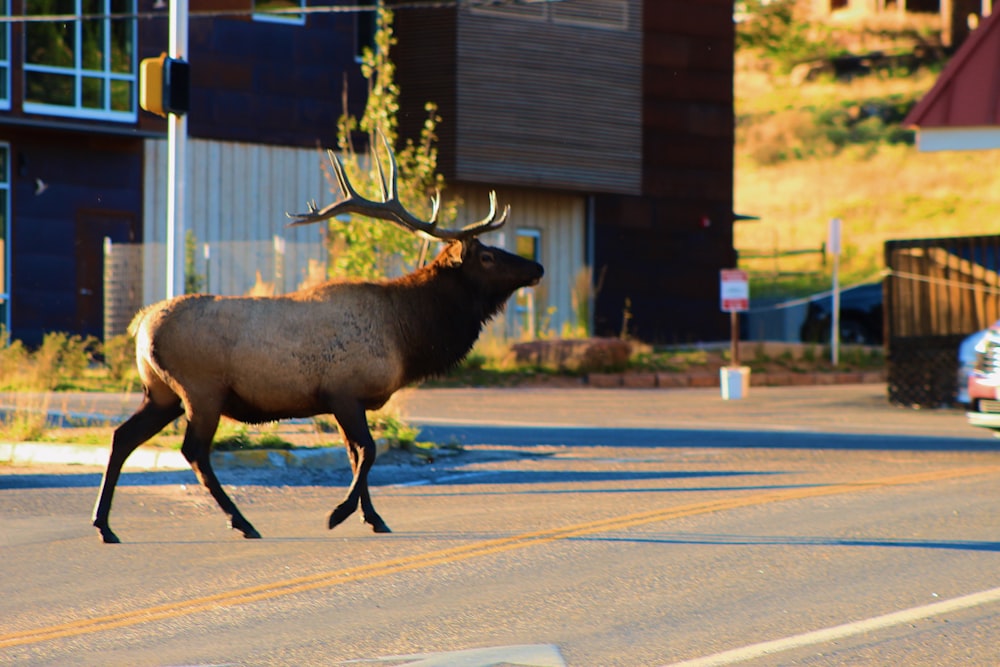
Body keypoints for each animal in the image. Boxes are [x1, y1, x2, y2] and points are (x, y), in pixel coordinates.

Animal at [92, 134, 548, 544]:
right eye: (487, 256)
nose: (538, 267)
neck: (407, 334)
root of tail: (140, 326)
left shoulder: (341, 401)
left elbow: (355, 454)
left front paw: (373, 518)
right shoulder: (344, 391)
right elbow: (369, 451)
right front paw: (339, 513)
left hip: (161, 392)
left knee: (122, 436)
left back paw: (106, 525)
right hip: (200, 390)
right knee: (194, 452)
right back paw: (243, 522)